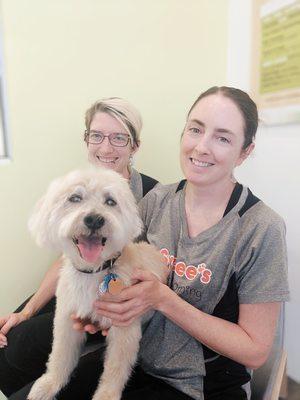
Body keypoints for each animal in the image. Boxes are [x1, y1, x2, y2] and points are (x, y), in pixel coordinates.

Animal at [26, 167, 166, 400]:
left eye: (110, 201)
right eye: (75, 198)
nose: (94, 220)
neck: (92, 273)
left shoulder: (124, 327)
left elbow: (116, 369)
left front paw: (106, 395)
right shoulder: (66, 319)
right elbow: (60, 353)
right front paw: (50, 384)